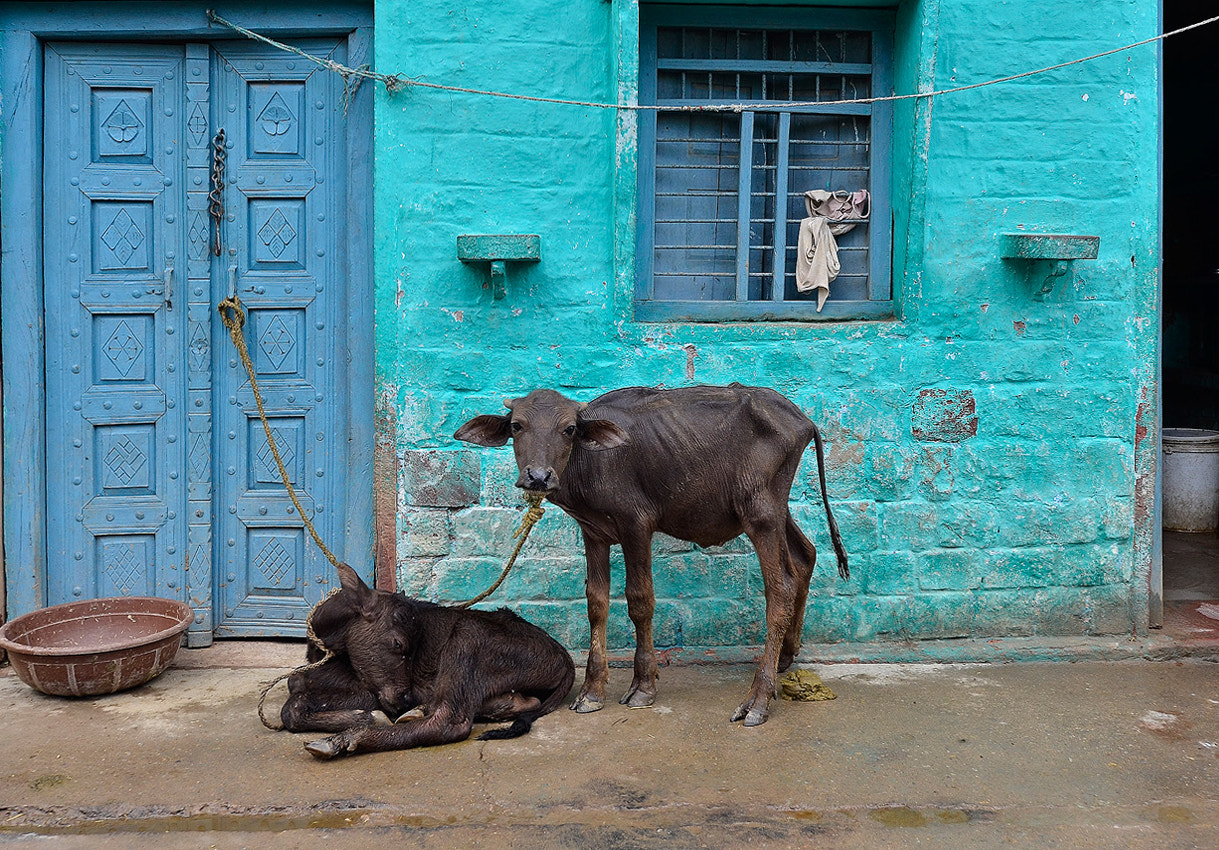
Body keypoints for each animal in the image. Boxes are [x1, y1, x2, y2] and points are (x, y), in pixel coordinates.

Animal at [280, 563, 575, 759]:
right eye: (398, 643)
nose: (405, 697)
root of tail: (564, 656)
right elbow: (296, 684)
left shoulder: (370, 690)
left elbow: (293, 702)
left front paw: (367, 717)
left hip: (468, 639)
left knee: (449, 722)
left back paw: (346, 739)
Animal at [454, 384, 848, 727]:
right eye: (517, 426)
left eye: (568, 429)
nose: (538, 477)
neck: (592, 462)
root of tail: (802, 419)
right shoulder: (593, 533)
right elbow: (596, 603)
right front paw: (592, 691)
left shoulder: (636, 525)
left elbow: (640, 600)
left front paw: (642, 686)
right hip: (777, 510)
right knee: (804, 557)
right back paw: (785, 656)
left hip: (761, 512)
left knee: (780, 589)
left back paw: (758, 700)